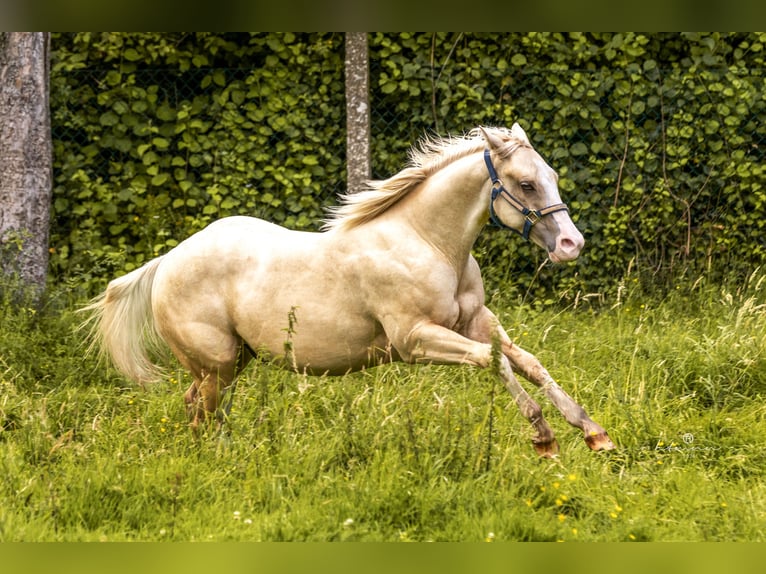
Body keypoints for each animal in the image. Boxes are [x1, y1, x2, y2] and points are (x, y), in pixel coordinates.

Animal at [83, 123, 614, 457]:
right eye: (525, 184)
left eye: (552, 176)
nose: (572, 244)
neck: (427, 242)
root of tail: (167, 261)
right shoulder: (416, 340)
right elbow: (493, 362)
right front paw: (543, 438)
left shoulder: (475, 322)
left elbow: (527, 362)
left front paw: (593, 433)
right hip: (217, 364)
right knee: (205, 413)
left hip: (232, 362)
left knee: (196, 407)